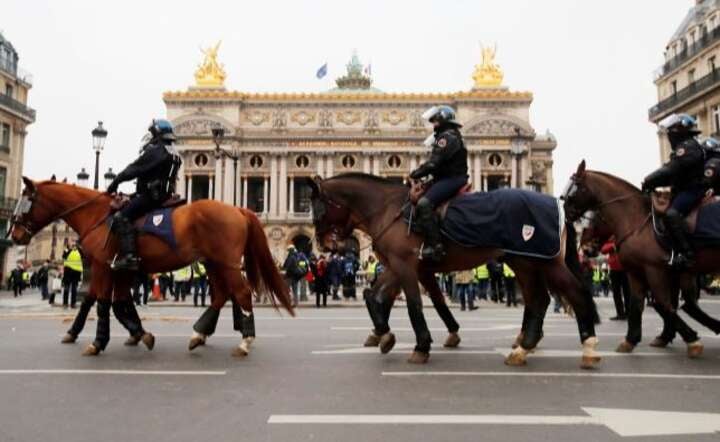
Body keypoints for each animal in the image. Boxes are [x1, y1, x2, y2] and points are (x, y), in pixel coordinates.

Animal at [10, 179, 292, 356]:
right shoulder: (122, 267)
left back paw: (244, 342)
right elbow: (116, 302)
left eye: (26, 202)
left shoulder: (104, 265)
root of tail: (238, 208)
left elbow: (100, 302)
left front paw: (97, 342)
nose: (14, 235)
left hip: (227, 264)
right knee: (222, 295)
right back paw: (198, 336)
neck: (98, 215)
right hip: (214, 263)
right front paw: (139, 334)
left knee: (241, 293)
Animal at [306, 173, 600, 370]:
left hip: (544, 262)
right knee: (538, 299)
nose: (324, 245)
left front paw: (420, 346)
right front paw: (384, 335)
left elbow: (414, 304)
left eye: (318, 209)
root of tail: (560, 207)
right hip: (525, 262)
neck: (389, 211)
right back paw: (523, 348)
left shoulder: (406, 265)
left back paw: (587, 349)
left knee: (573, 293)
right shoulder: (399, 265)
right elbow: (376, 295)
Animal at [564, 161, 720, 358]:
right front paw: (631, 339)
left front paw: (691, 338)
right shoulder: (638, 272)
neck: (635, 221)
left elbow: (663, 303)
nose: (585, 248)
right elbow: (638, 304)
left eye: (574, 189)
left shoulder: (656, 270)